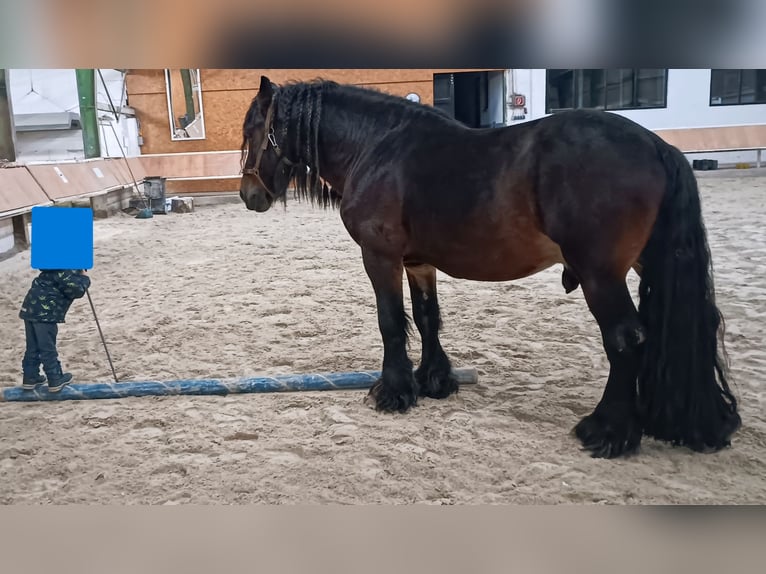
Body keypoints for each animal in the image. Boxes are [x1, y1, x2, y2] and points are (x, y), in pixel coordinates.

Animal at [238, 75, 741, 458]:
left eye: (252, 131)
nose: (249, 194)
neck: (377, 147)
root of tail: (657, 145)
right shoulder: (418, 262)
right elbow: (427, 317)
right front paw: (433, 380)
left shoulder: (380, 257)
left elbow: (390, 322)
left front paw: (394, 390)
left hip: (601, 277)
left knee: (626, 340)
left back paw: (607, 431)